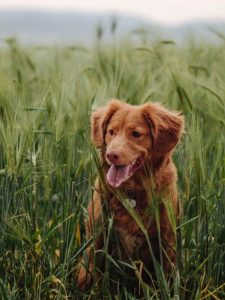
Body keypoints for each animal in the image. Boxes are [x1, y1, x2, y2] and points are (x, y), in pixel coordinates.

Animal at [76, 100, 184, 290]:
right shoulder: (96, 237)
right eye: (111, 131)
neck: (131, 193)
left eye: (136, 134)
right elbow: (87, 273)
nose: (111, 155)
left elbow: (166, 279)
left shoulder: (166, 241)